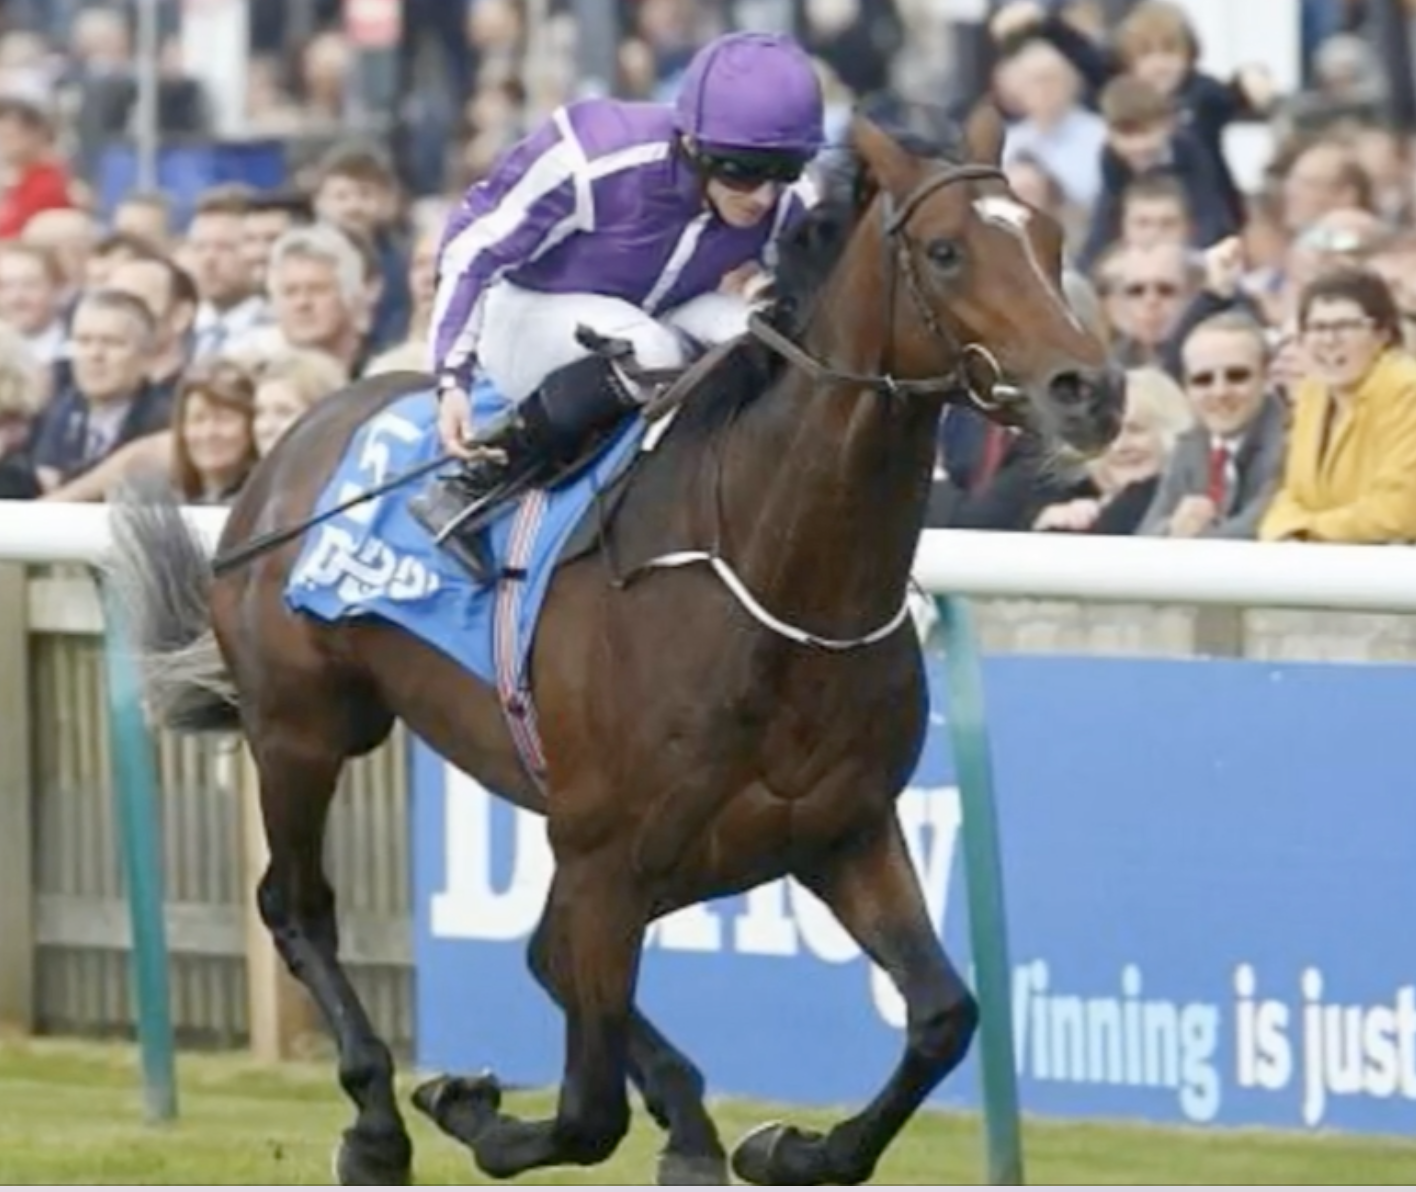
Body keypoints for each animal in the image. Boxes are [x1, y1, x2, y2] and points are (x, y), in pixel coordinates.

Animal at [106, 103, 1122, 1186]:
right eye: (945, 251)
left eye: (1053, 241)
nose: (1090, 389)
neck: (768, 571)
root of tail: (293, 442)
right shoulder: (606, 848)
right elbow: (587, 1107)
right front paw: (471, 1109)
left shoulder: (838, 827)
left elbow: (942, 1017)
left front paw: (789, 1144)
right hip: (303, 730)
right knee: (299, 906)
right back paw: (378, 1120)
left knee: (548, 957)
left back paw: (683, 1123)